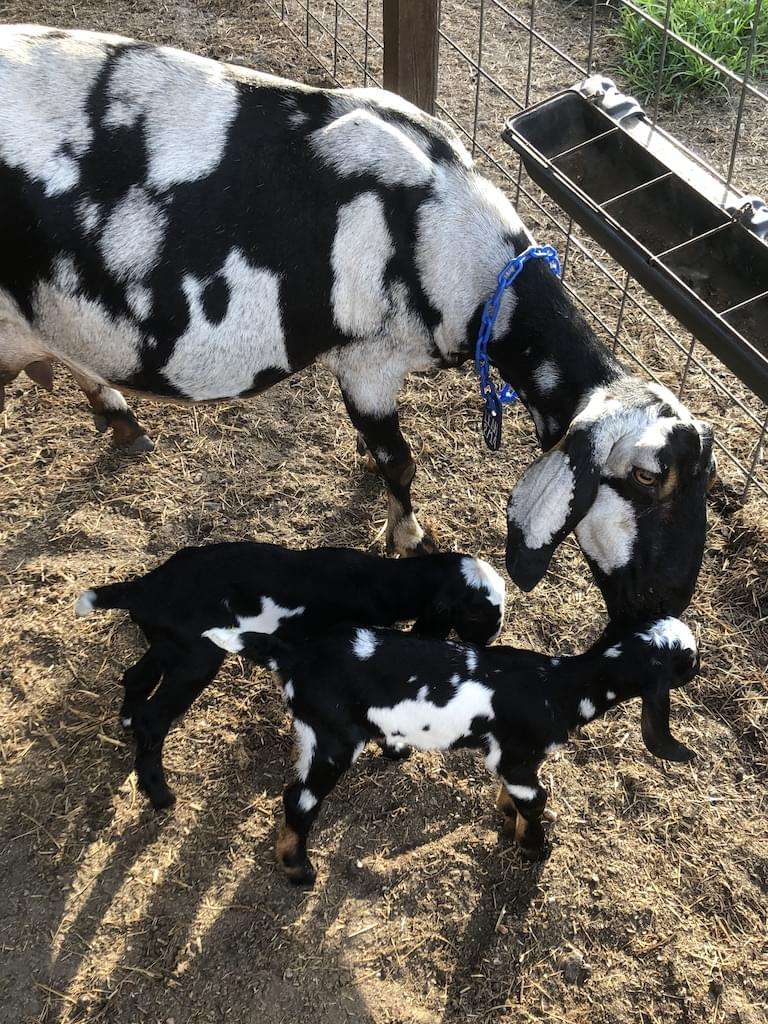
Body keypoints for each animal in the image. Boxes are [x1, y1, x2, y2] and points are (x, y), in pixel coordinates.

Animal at [3, 29, 720, 622]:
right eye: (647, 478)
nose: (674, 597)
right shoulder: (369, 360)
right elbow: (401, 461)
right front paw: (409, 534)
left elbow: (382, 453)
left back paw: (117, 414)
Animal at [72, 540, 505, 811]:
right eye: (480, 613)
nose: (493, 641)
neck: (377, 580)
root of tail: (143, 588)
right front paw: (394, 750)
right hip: (196, 659)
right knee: (154, 716)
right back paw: (159, 793)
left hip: (168, 646)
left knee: (134, 678)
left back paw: (127, 724)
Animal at [207, 614, 700, 888]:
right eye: (688, 661)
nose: (702, 667)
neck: (560, 687)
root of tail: (295, 658)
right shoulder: (518, 760)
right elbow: (536, 800)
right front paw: (533, 848)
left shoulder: (509, 763)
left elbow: (515, 796)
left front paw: (507, 815)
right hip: (332, 741)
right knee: (298, 799)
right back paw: (297, 870)